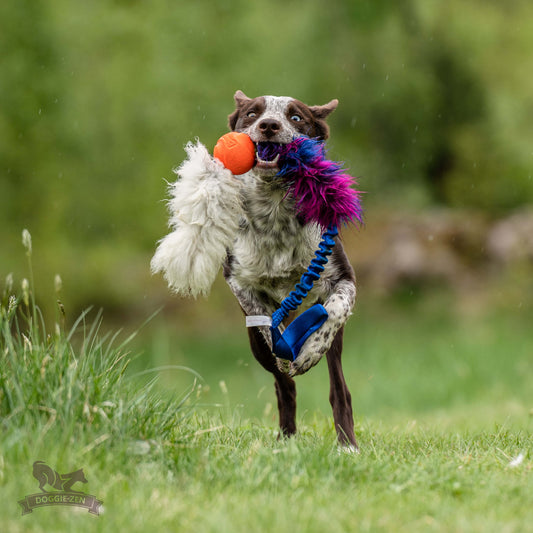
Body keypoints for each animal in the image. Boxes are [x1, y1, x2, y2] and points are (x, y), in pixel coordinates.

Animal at [151, 90, 358, 444]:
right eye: (252, 113)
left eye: (296, 117)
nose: (269, 125)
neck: (275, 211)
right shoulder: (241, 285)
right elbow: (267, 333)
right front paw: (282, 349)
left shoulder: (343, 278)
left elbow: (335, 309)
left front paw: (308, 352)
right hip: (254, 345)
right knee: (284, 387)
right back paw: (286, 438)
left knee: (339, 388)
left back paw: (347, 444)